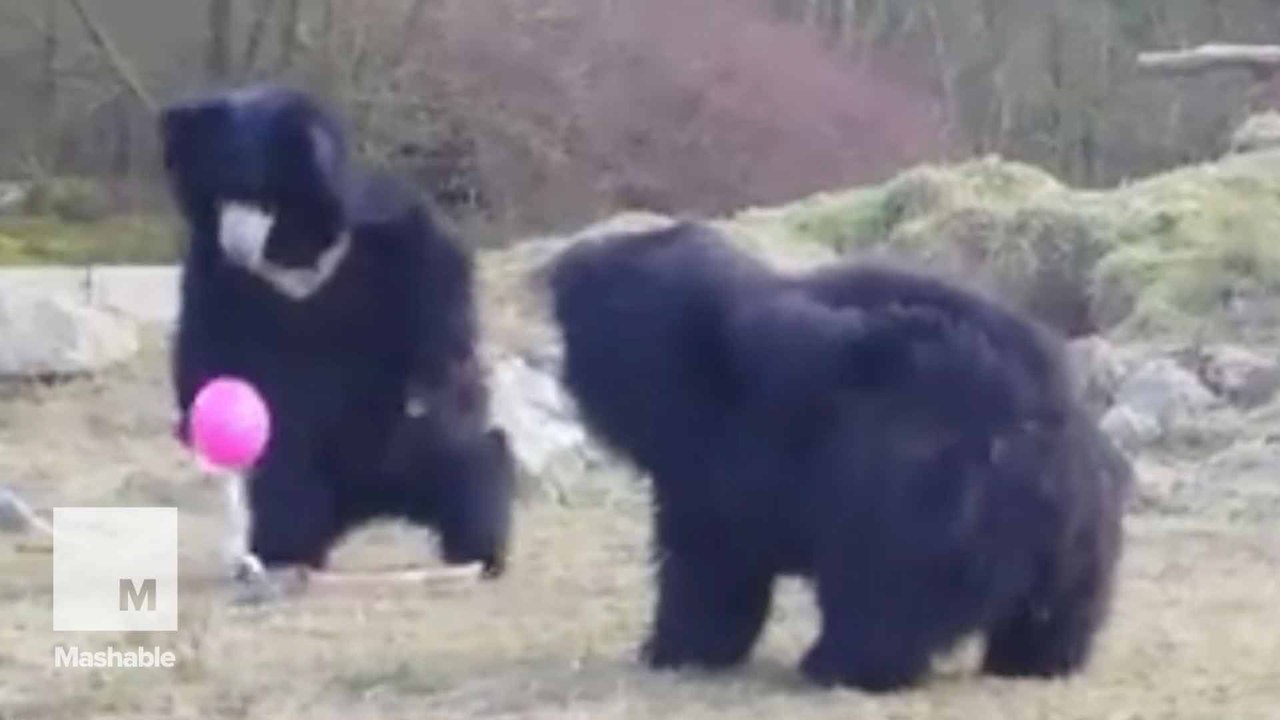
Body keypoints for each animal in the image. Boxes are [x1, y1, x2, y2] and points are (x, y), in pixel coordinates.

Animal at [159, 84, 514, 584]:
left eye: (259, 198)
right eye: (217, 198)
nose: (237, 244)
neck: (291, 254)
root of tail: (371, 501)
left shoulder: (384, 233)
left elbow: (437, 286)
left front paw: (435, 381)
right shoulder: (215, 275)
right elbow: (204, 346)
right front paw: (197, 423)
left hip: (418, 452)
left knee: (471, 461)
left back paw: (479, 553)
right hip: (307, 468)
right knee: (284, 489)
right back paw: (284, 556)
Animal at [546, 220, 1132, 692]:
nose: (563, 266)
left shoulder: (724, 453)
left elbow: (709, 563)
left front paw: (670, 648)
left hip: (918, 494)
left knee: (883, 599)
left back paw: (835, 664)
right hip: (1084, 536)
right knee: (1056, 614)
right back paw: (1035, 661)